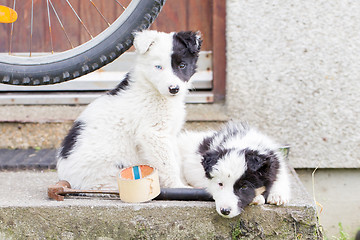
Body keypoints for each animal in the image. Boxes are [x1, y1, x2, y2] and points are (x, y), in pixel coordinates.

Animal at [56, 30, 202, 189]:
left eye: (182, 65)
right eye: (158, 67)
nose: (174, 89)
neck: (151, 87)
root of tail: (68, 180)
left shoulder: (169, 134)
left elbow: (176, 159)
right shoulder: (153, 134)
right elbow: (168, 164)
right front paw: (178, 186)